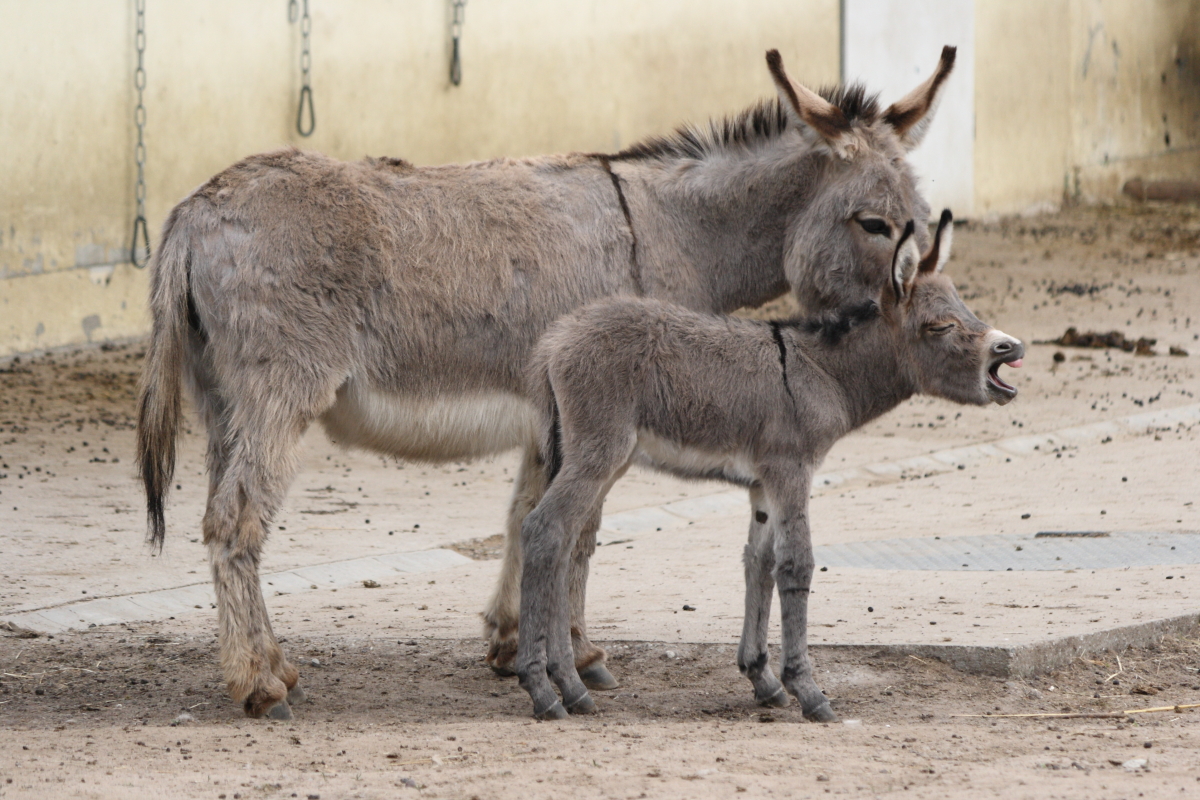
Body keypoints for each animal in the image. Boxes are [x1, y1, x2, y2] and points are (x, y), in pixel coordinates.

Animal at [516, 211, 1022, 719]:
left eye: (966, 309)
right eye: (939, 326)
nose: (1011, 347)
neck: (825, 373)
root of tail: (555, 339)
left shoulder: (762, 484)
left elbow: (758, 562)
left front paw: (762, 679)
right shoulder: (791, 471)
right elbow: (797, 564)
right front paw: (808, 690)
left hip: (599, 458)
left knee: (565, 544)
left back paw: (570, 685)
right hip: (599, 451)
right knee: (544, 529)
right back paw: (544, 690)